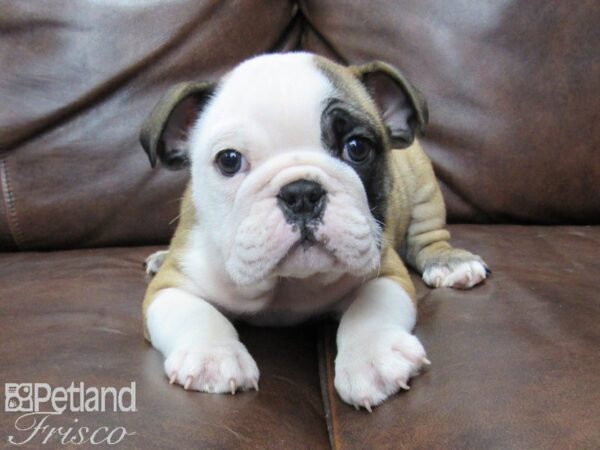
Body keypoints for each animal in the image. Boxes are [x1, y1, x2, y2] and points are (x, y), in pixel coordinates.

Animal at [141, 52, 488, 412]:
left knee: (428, 236)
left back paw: (449, 262)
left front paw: (373, 356)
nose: (302, 193)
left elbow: (370, 309)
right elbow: (195, 314)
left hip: (422, 185)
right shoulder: (171, 286)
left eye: (357, 147)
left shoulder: (387, 272)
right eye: (229, 160)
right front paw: (211, 356)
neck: (288, 284)